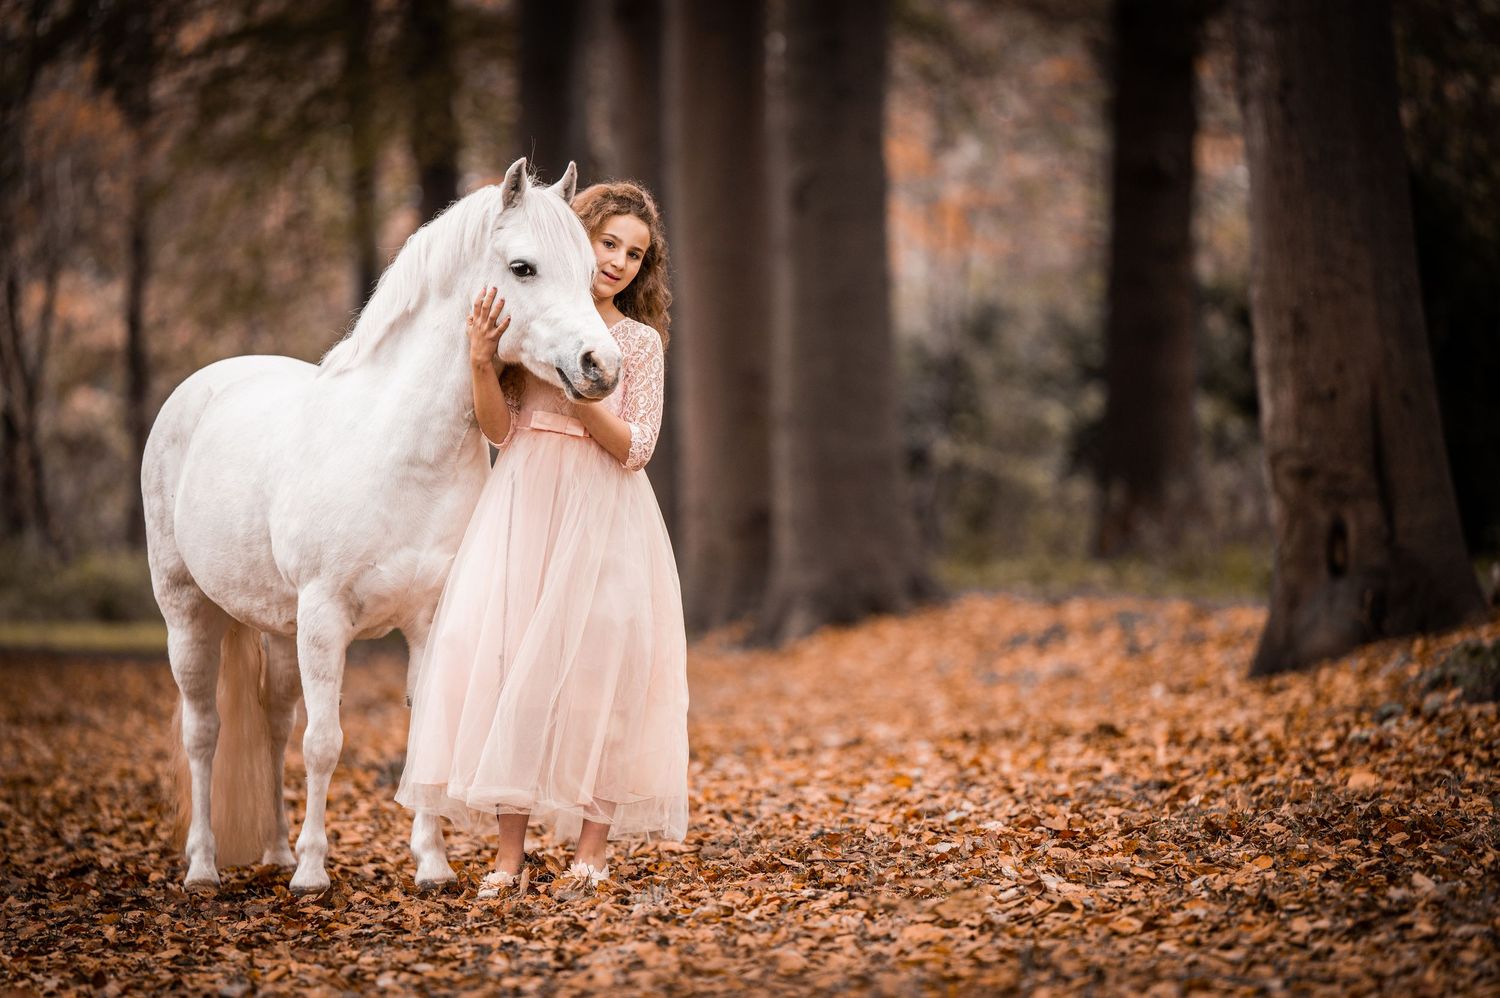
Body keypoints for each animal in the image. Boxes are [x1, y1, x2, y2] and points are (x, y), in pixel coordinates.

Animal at [143, 157, 621, 894]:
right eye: (523, 267)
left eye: (590, 268)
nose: (604, 365)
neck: (400, 450)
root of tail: (201, 387)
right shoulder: (323, 619)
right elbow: (324, 743)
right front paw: (315, 872)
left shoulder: (426, 619)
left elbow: (419, 736)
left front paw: (432, 864)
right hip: (188, 612)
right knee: (205, 730)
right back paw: (204, 867)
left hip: (274, 627)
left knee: (273, 721)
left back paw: (275, 852)